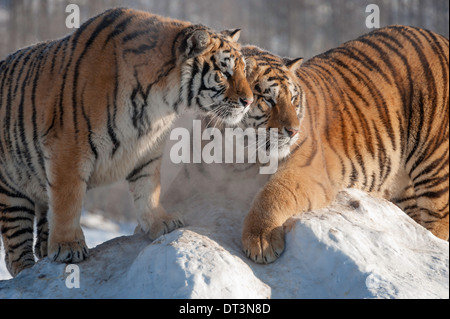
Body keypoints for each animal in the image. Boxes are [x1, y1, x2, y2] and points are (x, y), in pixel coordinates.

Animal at [0, 7, 253, 278]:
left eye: (243, 71)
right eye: (224, 73)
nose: (248, 101)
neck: (159, 103)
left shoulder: (147, 148)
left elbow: (148, 187)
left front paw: (161, 222)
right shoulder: (67, 149)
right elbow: (67, 202)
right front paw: (68, 247)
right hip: (12, 192)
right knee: (16, 252)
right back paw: (28, 268)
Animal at [237, 25, 448, 264]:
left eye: (292, 99)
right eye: (268, 99)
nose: (294, 131)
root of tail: (439, 37)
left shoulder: (306, 169)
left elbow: (273, 194)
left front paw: (260, 240)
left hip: (434, 160)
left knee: (439, 220)